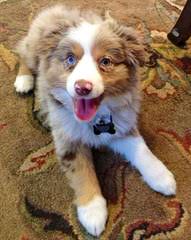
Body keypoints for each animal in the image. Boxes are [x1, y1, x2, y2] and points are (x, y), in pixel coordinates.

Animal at [14, 5, 176, 236]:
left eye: (105, 61)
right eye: (70, 59)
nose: (83, 87)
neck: (96, 118)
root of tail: (56, 8)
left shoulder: (121, 125)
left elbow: (142, 150)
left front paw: (162, 177)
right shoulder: (67, 140)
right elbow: (82, 172)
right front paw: (93, 213)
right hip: (33, 48)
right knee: (22, 54)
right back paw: (24, 80)